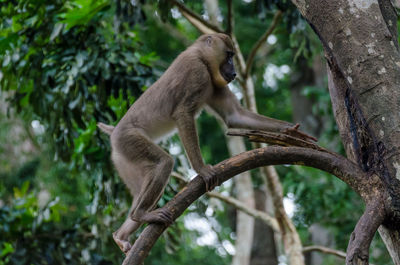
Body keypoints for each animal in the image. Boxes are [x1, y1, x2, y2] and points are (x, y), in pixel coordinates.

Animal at [97, 32, 316, 252]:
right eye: (229, 55)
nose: (233, 72)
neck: (201, 56)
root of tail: (115, 132)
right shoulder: (198, 72)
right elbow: (183, 113)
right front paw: (202, 170)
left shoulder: (214, 83)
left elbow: (234, 116)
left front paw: (291, 132)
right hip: (130, 140)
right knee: (164, 163)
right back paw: (140, 214)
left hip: (124, 159)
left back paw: (121, 234)